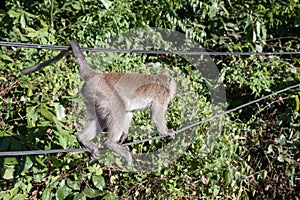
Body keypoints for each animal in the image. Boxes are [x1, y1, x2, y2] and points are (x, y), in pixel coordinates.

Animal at [22, 41, 176, 166]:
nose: (175, 88)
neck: (161, 80)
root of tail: (97, 75)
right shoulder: (162, 95)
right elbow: (155, 117)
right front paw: (167, 131)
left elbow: (129, 112)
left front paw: (124, 136)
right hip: (102, 91)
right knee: (117, 107)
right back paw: (111, 144)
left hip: (92, 95)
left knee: (105, 116)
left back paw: (83, 139)